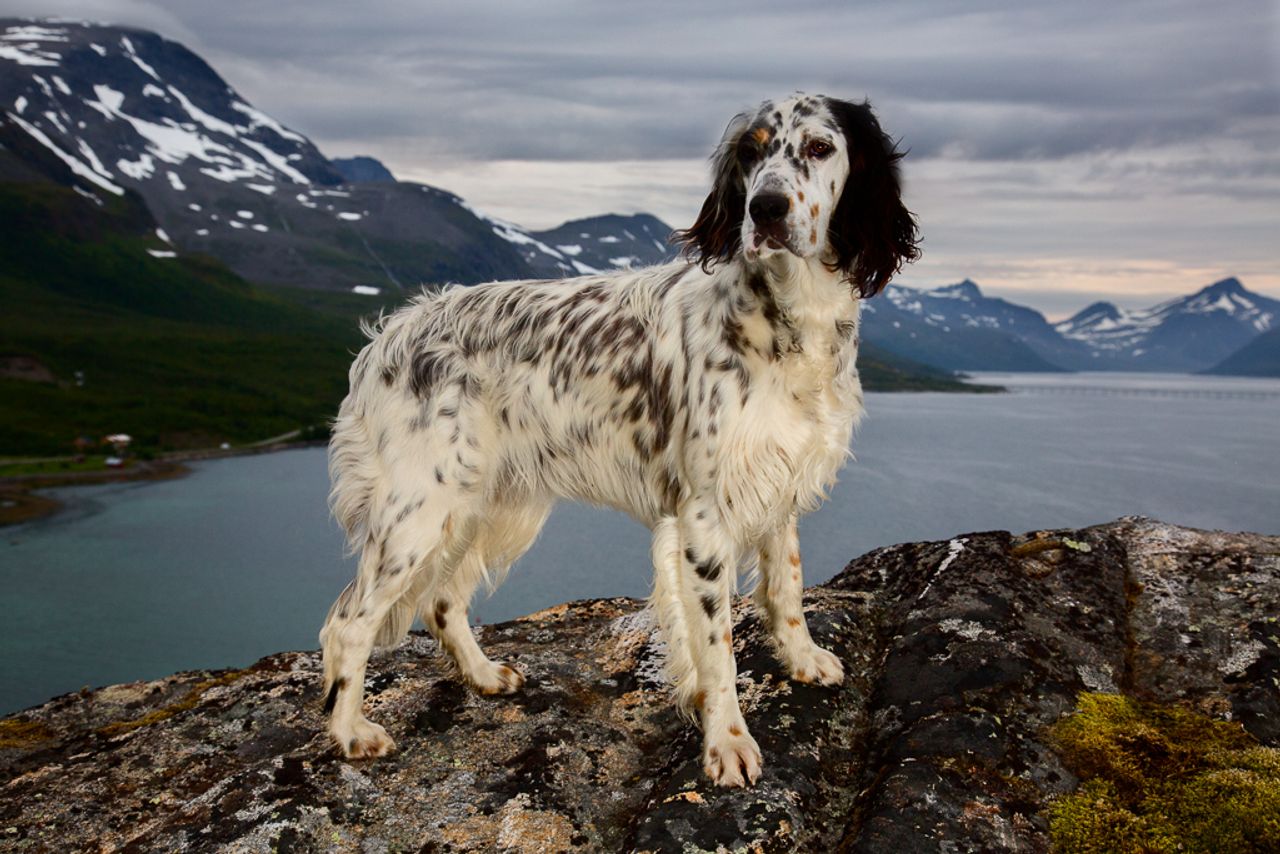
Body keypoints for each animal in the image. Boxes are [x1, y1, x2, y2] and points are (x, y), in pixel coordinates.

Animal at [320, 93, 921, 788]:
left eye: (821, 148)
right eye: (753, 153)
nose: (765, 209)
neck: (787, 320)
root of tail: (385, 338)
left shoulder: (778, 483)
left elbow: (786, 587)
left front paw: (802, 658)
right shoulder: (704, 516)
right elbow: (717, 648)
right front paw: (727, 741)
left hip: (489, 505)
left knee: (441, 602)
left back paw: (482, 675)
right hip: (419, 513)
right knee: (349, 623)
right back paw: (350, 732)